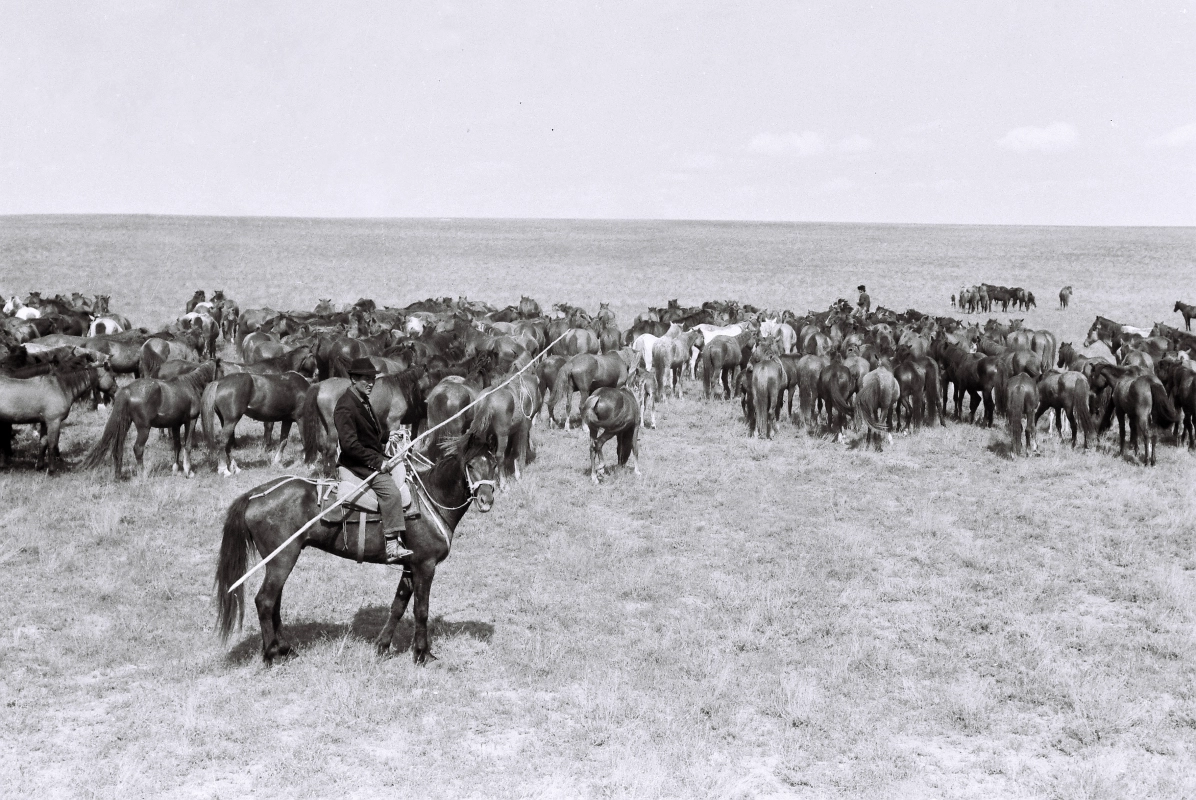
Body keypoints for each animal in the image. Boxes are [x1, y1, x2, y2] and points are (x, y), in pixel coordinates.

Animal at [82, 358, 220, 478]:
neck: (191, 385)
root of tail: (127, 390)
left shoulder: (175, 424)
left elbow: (177, 445)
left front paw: (176, 469)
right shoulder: (191, 420)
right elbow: (188, 445)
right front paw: (188, 471)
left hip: (125, 424)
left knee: (118, 447)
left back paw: (118, 475)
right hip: (144, 429)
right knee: (138, 448)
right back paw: (142, 474)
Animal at [214, 432, 495, 664]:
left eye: (492, 463)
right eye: (470, 465)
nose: (486, 500)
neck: (431, 500)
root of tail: (255, 495)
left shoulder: (409, 566)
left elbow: (398, 606)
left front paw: (382, 647)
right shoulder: (424, 566)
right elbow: (421, 610)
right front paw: (422, 655)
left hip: (278, 561)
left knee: (274, 603)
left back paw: (285, 649)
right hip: (282, 559)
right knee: (264, 601)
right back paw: (272, 654)